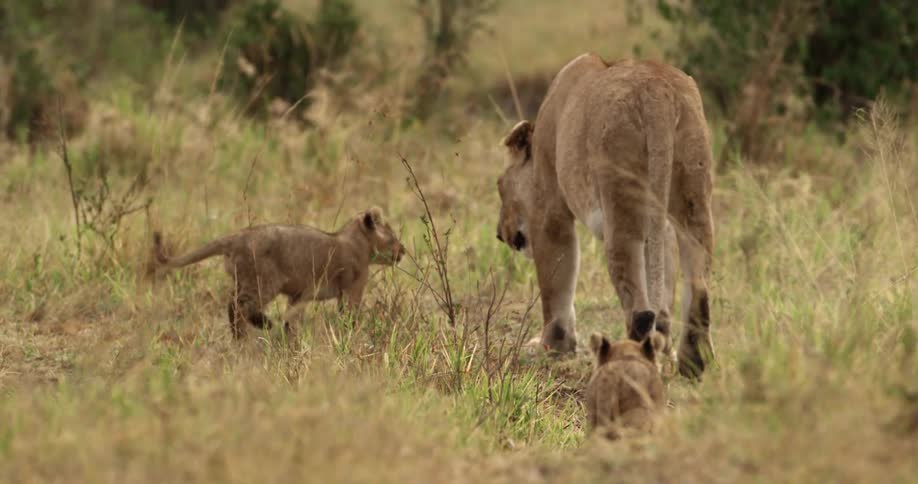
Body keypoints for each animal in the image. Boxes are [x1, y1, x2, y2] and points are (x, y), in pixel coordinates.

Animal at [153, 207, 405, 339]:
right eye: (393, 237)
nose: (404, 250)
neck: (356, 240)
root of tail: (236, 237)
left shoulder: (299, 294)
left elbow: (291, 317)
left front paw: (290, 338)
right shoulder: (352, 288)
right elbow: (350, 316)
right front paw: (353, 335)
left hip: (243, 280)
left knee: (232, 304)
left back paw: (240, 336)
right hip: (264, 282)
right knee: (239, 306)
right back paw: (262, 324)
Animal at [496, 54, 715, 378]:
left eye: (499, 186)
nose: (500, 234)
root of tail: (657, 91)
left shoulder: (550, 208)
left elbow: (556, 281)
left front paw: (551, 346)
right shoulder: (658, 226)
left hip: (620, 205)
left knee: (639, 310)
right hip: (692, 193)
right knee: (697, 285)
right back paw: (692, 364)